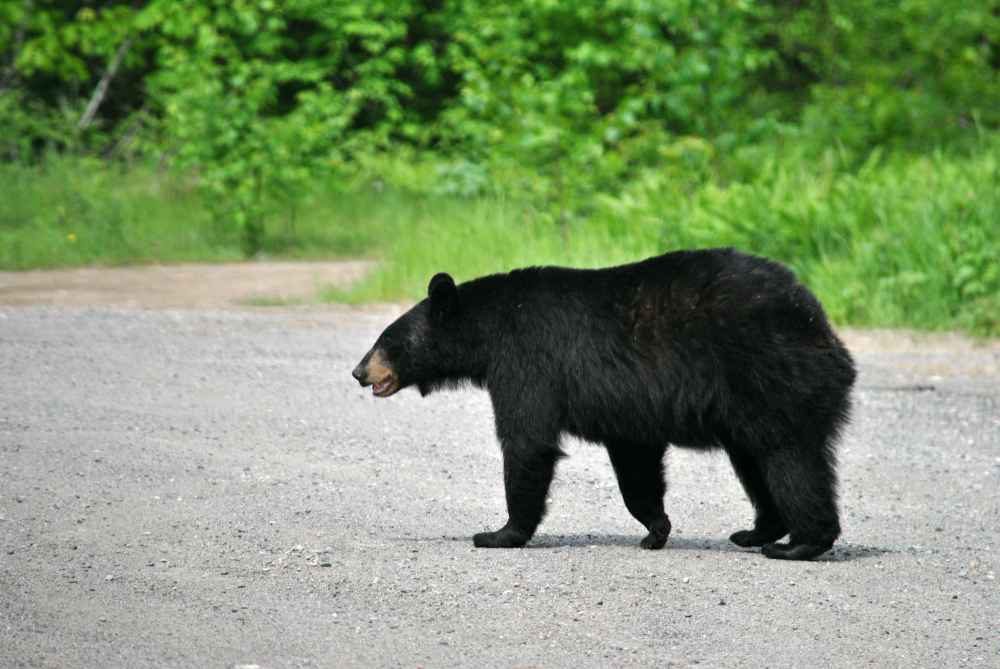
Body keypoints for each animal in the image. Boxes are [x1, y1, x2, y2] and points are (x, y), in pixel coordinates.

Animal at [351, 248, 856, 560]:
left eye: (387, 340)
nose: (358, 372)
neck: (490, 329)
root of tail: (824, 330)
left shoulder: (527, 359)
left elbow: (528, 440)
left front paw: (500, 534)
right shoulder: (627, 405)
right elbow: (635, 462)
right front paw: (656, 528)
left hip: (773, 379)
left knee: (791, 461)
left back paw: (800, 543)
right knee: (755, 462)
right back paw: (756, 531)